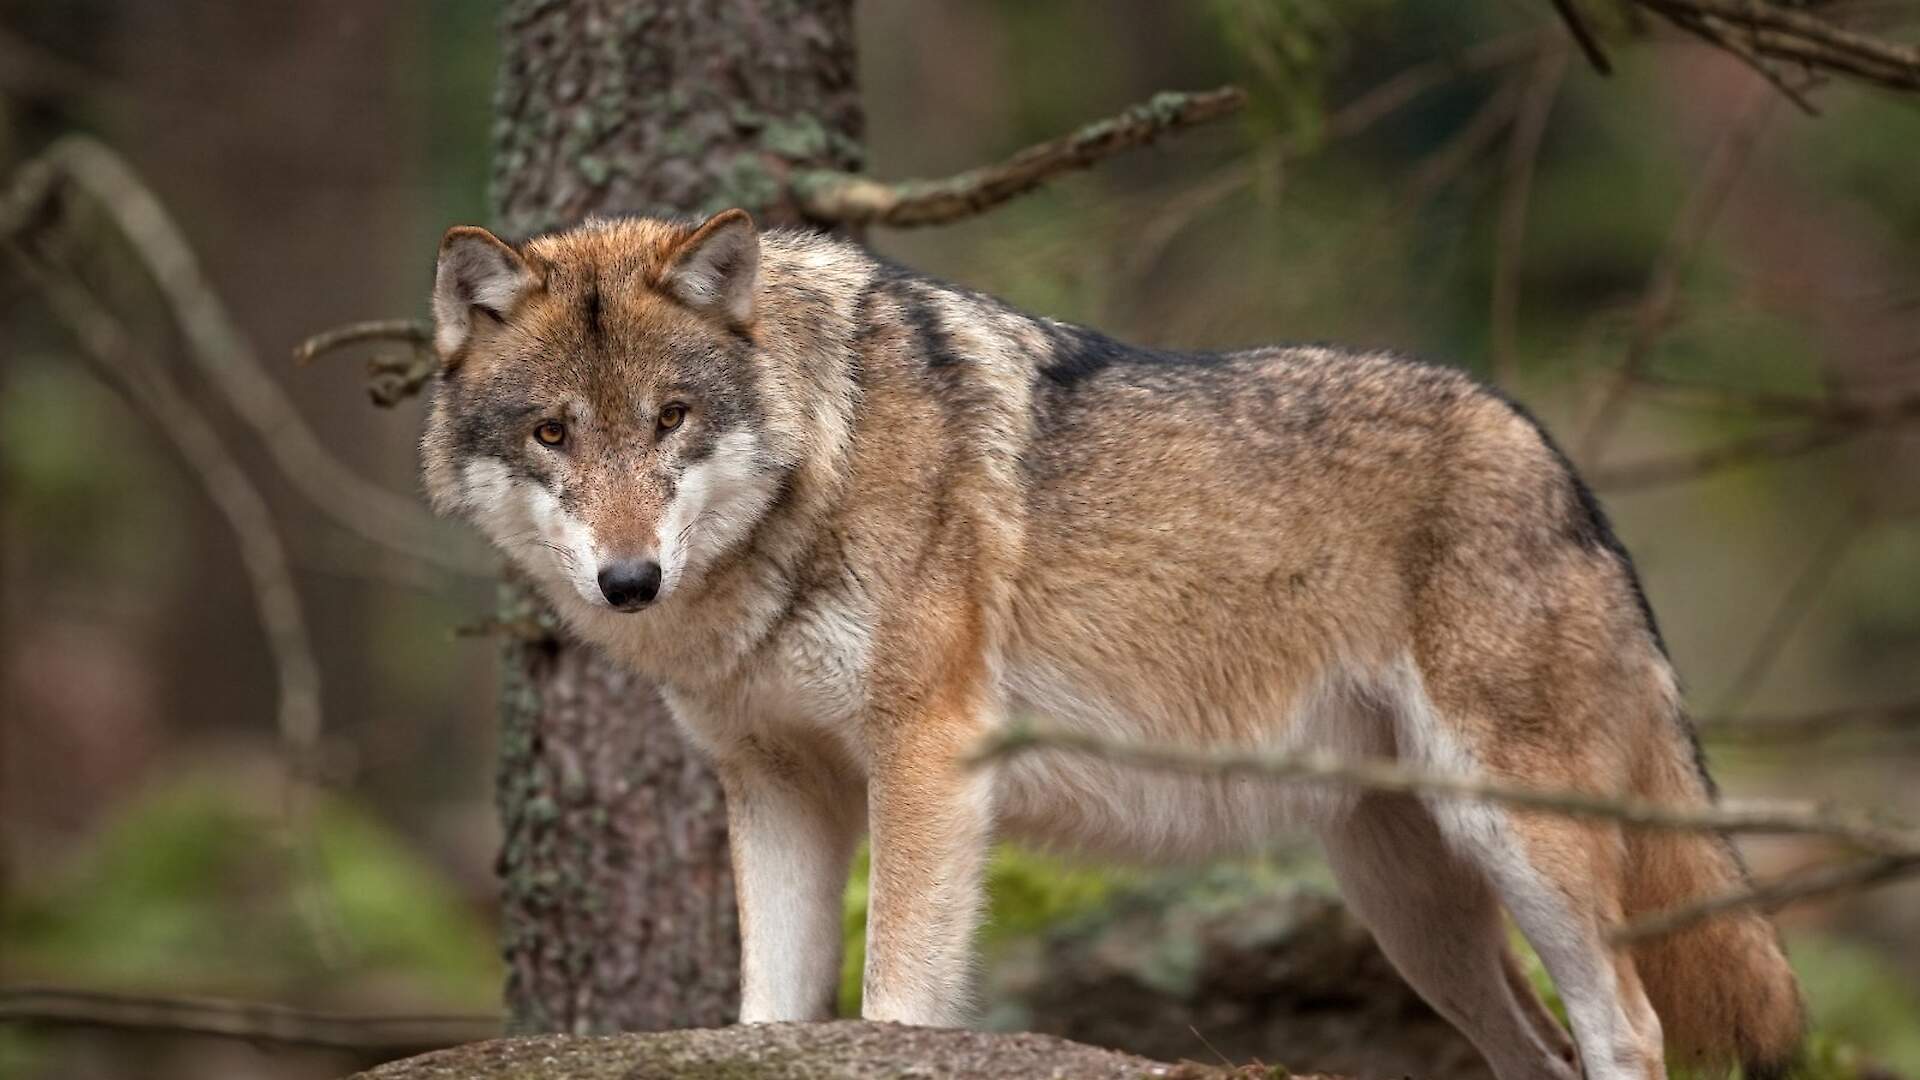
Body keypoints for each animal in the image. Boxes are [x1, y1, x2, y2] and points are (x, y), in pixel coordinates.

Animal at [420, 208, 1797, 1076]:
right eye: (552, 433)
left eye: (672, 418)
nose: (629, 580)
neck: (819, 470)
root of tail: (1556, 459)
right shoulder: (774, 783)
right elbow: (770, 1013)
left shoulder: (928, 755)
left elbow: (897, 995)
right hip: (1413, 911)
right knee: (1541, 1050)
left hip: (1520, 842)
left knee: (1627, 1028)